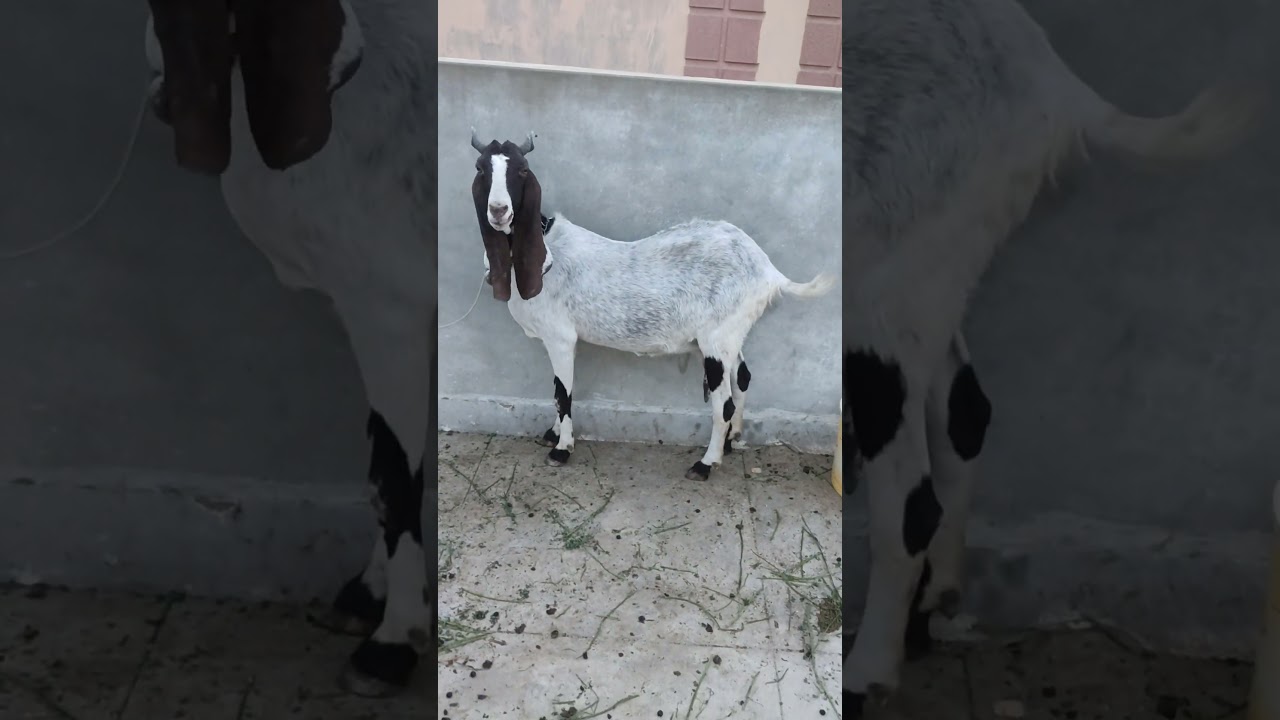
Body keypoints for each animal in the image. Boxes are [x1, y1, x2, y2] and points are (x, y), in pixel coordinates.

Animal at [143, 0, 432, 697]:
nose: (164, 91)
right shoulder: (363, 313)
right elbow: (385, 465)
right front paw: (367, 593)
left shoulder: (391, 313)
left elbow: (395, 475)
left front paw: (391, 643)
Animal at [469, 129, 836, 480]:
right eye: (481, 168)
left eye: (522, 169)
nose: (499, 211)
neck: (545, 252)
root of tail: (769, 271)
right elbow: (559, 389)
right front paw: (552, 434)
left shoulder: (560, 337)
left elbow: (563, 393)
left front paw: (562, 449)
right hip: (732, 333)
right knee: (743, 376)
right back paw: (731, 441)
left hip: (716, 340)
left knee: (724, 404)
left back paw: (706, 463)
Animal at [843, 0, 1264, 714]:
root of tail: (1051, 83)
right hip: (940, 260)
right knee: (966, 409)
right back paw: (934, 603)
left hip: (888, 260)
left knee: (910, 498)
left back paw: (866, 671)